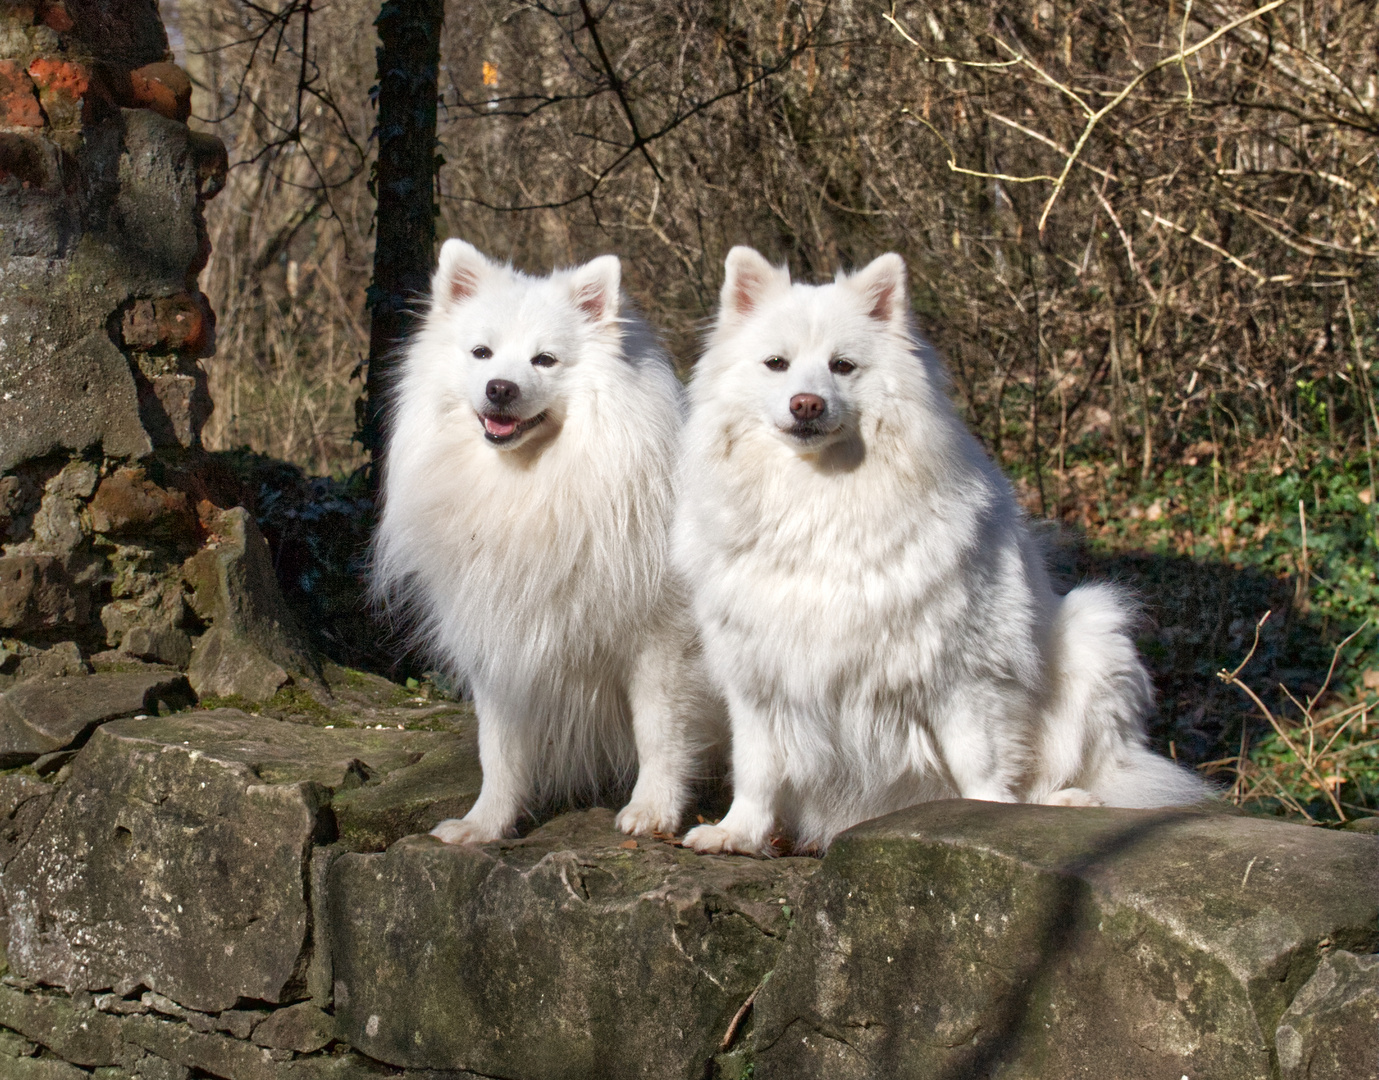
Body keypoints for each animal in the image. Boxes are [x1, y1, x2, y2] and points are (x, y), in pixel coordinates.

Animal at [372, 241, 728, 849]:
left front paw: (653, 810)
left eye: (545, 360)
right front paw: (485, 823)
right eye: (482, 353)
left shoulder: (663, 642)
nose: (500, 388)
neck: (533, 483)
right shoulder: (501, 643)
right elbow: (499, 750)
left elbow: (660, 733)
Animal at [675, 249, 1208, 855]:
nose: (806, 404)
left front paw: (988, 821)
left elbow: (980, 764)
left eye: (843, 366)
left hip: (1094, 631)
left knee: (1058, 774)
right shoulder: (757, 676)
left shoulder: (963, 672)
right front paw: (737, 832)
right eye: (776, 364)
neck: (818, 499)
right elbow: (756, 766)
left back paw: (1064, 802)